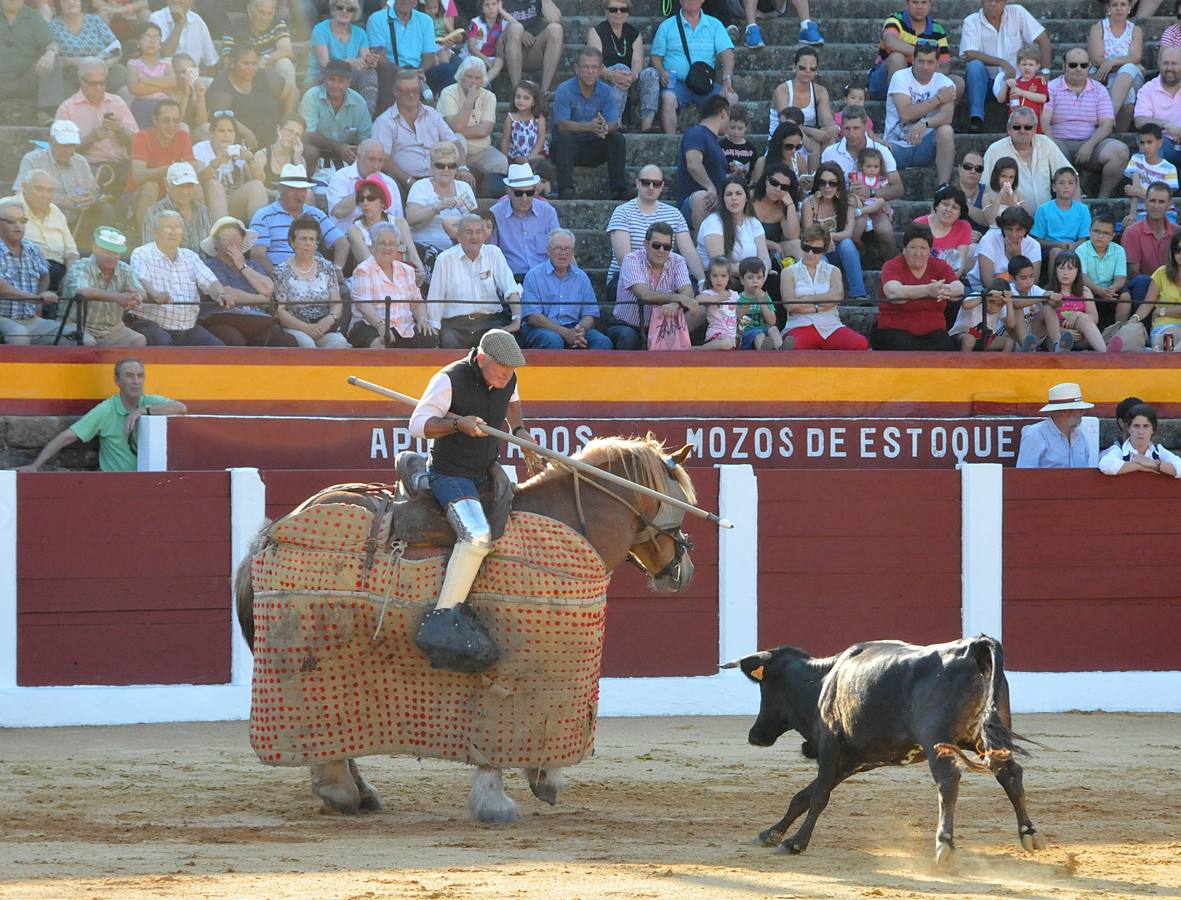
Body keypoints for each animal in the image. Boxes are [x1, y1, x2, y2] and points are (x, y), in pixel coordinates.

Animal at [237, 434, 699, 822]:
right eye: (678, 499)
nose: (684, 571)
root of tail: (272, 531)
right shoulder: (516, 670)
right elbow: (503, 731)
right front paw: (505, 797)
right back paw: (341, 792)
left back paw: (361, 792)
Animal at [722, 633, 1048, 859]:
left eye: (765, 688)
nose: (755, 735)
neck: (824, 681)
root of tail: (974, 647)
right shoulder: (853, 759)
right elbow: (804, 796)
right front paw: (770, 834)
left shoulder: (830, 747)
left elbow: (818, 796)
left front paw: (795, 843)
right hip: (987, 737)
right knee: (1009, 773)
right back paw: (1029, 833)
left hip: (937, 741)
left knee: (948, 780)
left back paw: (944, 846)